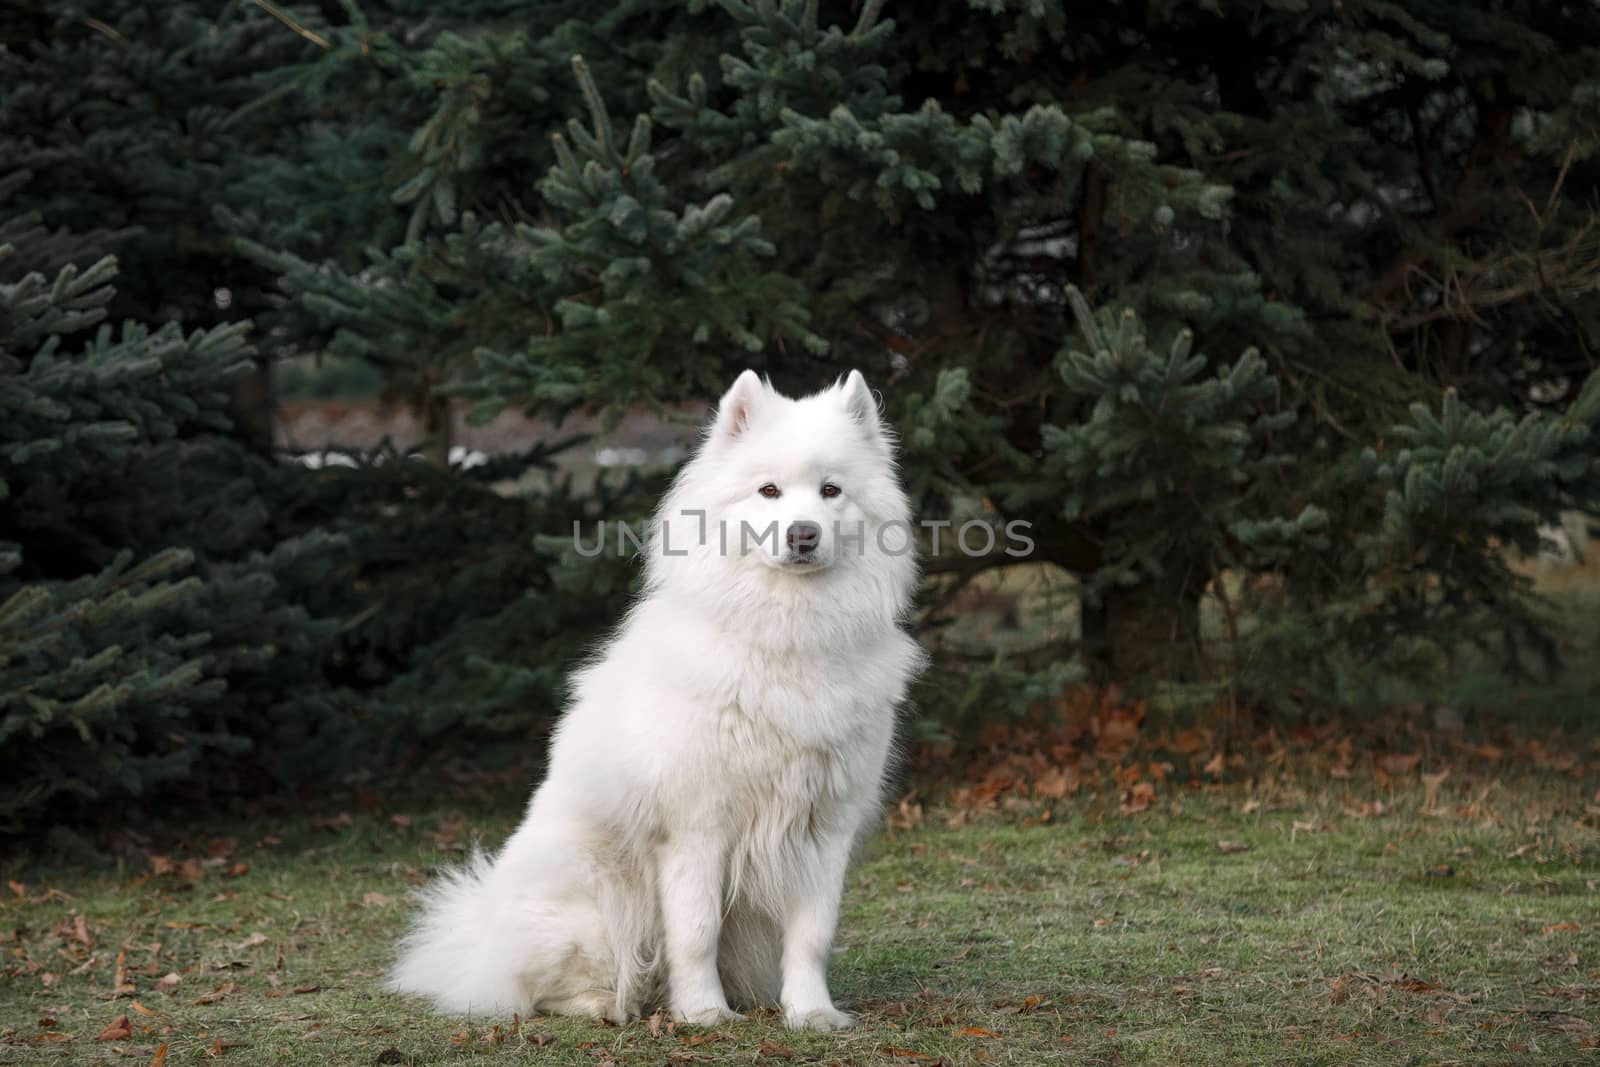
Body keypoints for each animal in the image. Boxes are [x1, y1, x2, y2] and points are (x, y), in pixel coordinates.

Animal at [388, 371, 934, 1030]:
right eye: (769, 491)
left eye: (831, 491)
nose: (802, 534)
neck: (787, 635)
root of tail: (475, 942)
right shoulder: (697, 829)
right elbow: (696, 932)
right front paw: (702, 1014)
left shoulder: (825, 826)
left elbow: (812, 935)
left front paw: (811, 1014)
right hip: (598, 897)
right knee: (544, 985)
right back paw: (609, 1004)